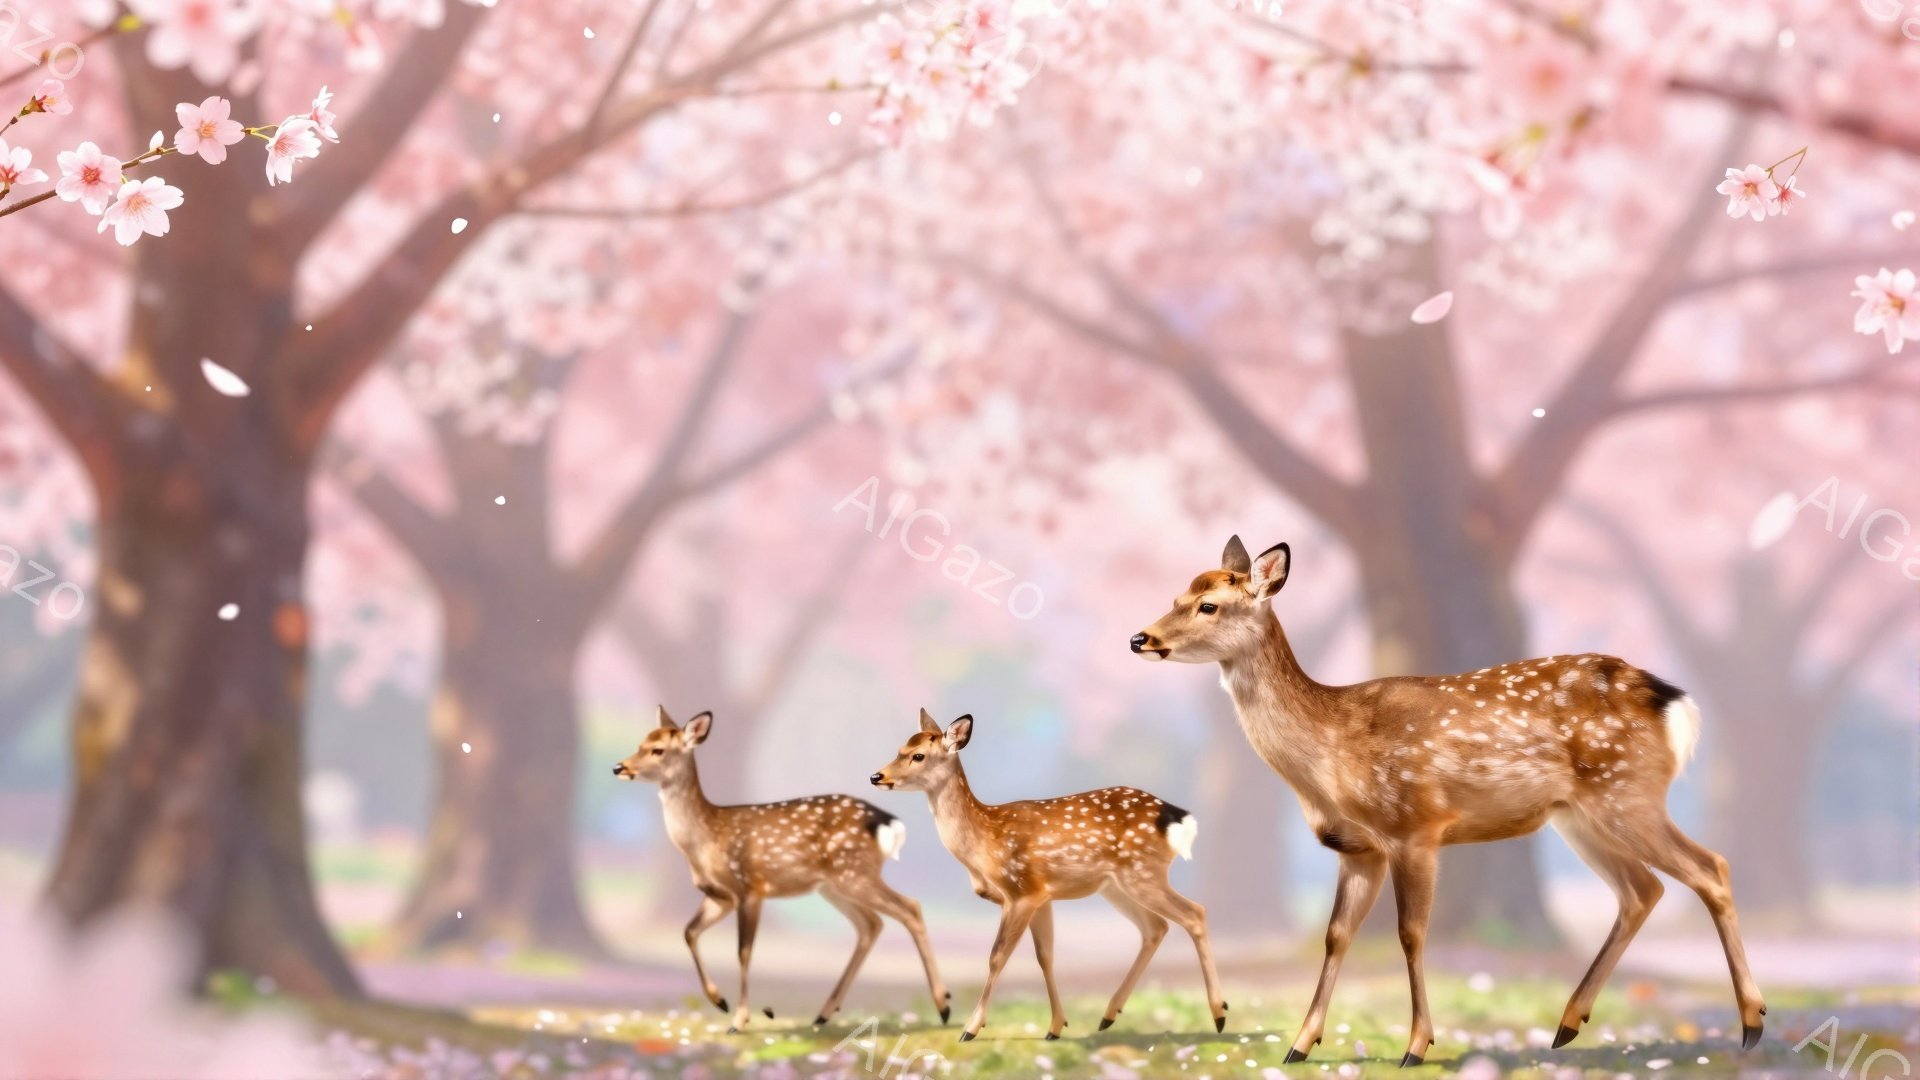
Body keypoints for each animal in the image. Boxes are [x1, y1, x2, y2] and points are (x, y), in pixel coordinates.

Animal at [613, 707, 950, 1033]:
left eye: (657, 750)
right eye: (640, 743)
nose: (619, 767)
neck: (706, 838)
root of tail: (885, 821)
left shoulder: (750, 887)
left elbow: (743, 951)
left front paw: (738, 1020)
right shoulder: (720, 896)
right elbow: (689, 932)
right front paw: (720, 1001)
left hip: (853, 872)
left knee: (909, 907)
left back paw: (944, 1005)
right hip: (834, 885)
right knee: (871, 924)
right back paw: (823, 1014)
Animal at [869, 709, 1228, 1042]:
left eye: (918, 755)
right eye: (901, 748)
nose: (876, 775)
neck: (984, 843)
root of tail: (1175, 816)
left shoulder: (1021, 890)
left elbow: (997, 956)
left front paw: (971, 1029)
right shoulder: (1043, 897)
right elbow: (1045, 956)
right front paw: (1055, 1027)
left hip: (1143, 874)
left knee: (1194, 913)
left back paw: (1219, 1014)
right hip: (1116, 886)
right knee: (1156, 927)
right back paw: (1108, 1015)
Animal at [1131, 538, 1766, 1066]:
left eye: (1208, 605)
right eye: (1175, 595)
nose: (1141, 638)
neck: (1330, 753)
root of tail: (1672, 701)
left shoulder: (1414, 827)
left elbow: (1412, 934)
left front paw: (1416, 1046)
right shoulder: (1357, 849)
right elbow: (1337, 936)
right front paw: (1300, 1045)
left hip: (1627, 793)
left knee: (1710, 867)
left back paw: (1751, 1024)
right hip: (1581, 818)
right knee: (1643, 890)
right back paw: (1568, 1025)